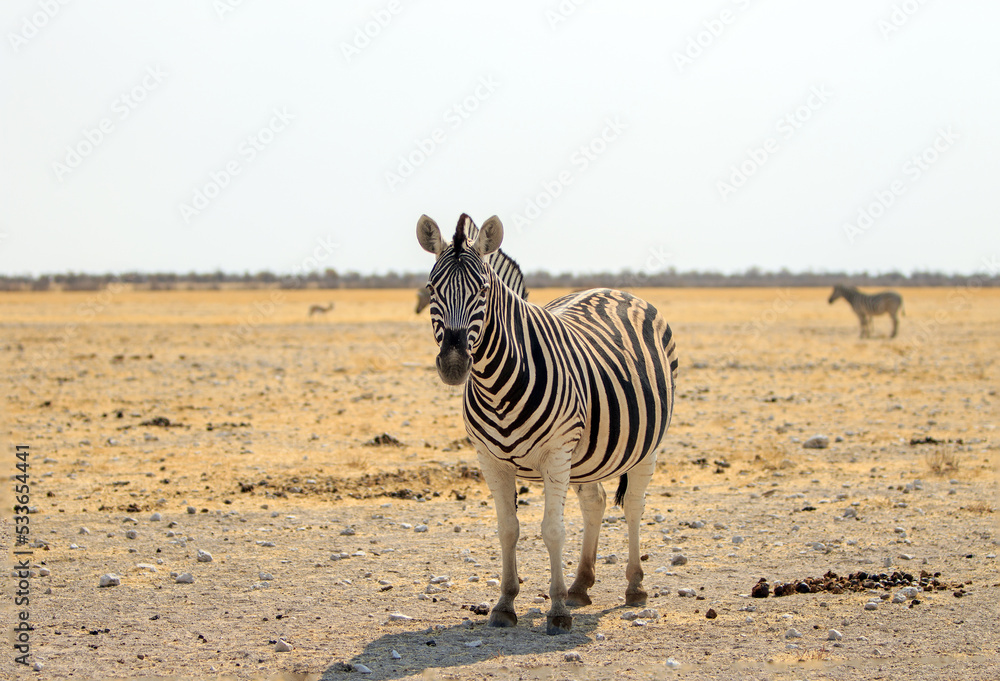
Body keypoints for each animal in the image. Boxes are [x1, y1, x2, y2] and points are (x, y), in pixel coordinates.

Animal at [417, 213, 678, 635]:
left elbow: (553, 530)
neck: (497, 383)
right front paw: (505, 604)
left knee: (634, 507)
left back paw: (635, 587)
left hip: (647, 446)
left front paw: (556, 610)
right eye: (431, 288)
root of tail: (615, 290)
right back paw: (580, 584)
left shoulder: (556, 453)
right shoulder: (489, 459)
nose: (454, 364)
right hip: (588, 455)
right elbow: (508, 529)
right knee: (595, 503)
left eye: (483, 289)